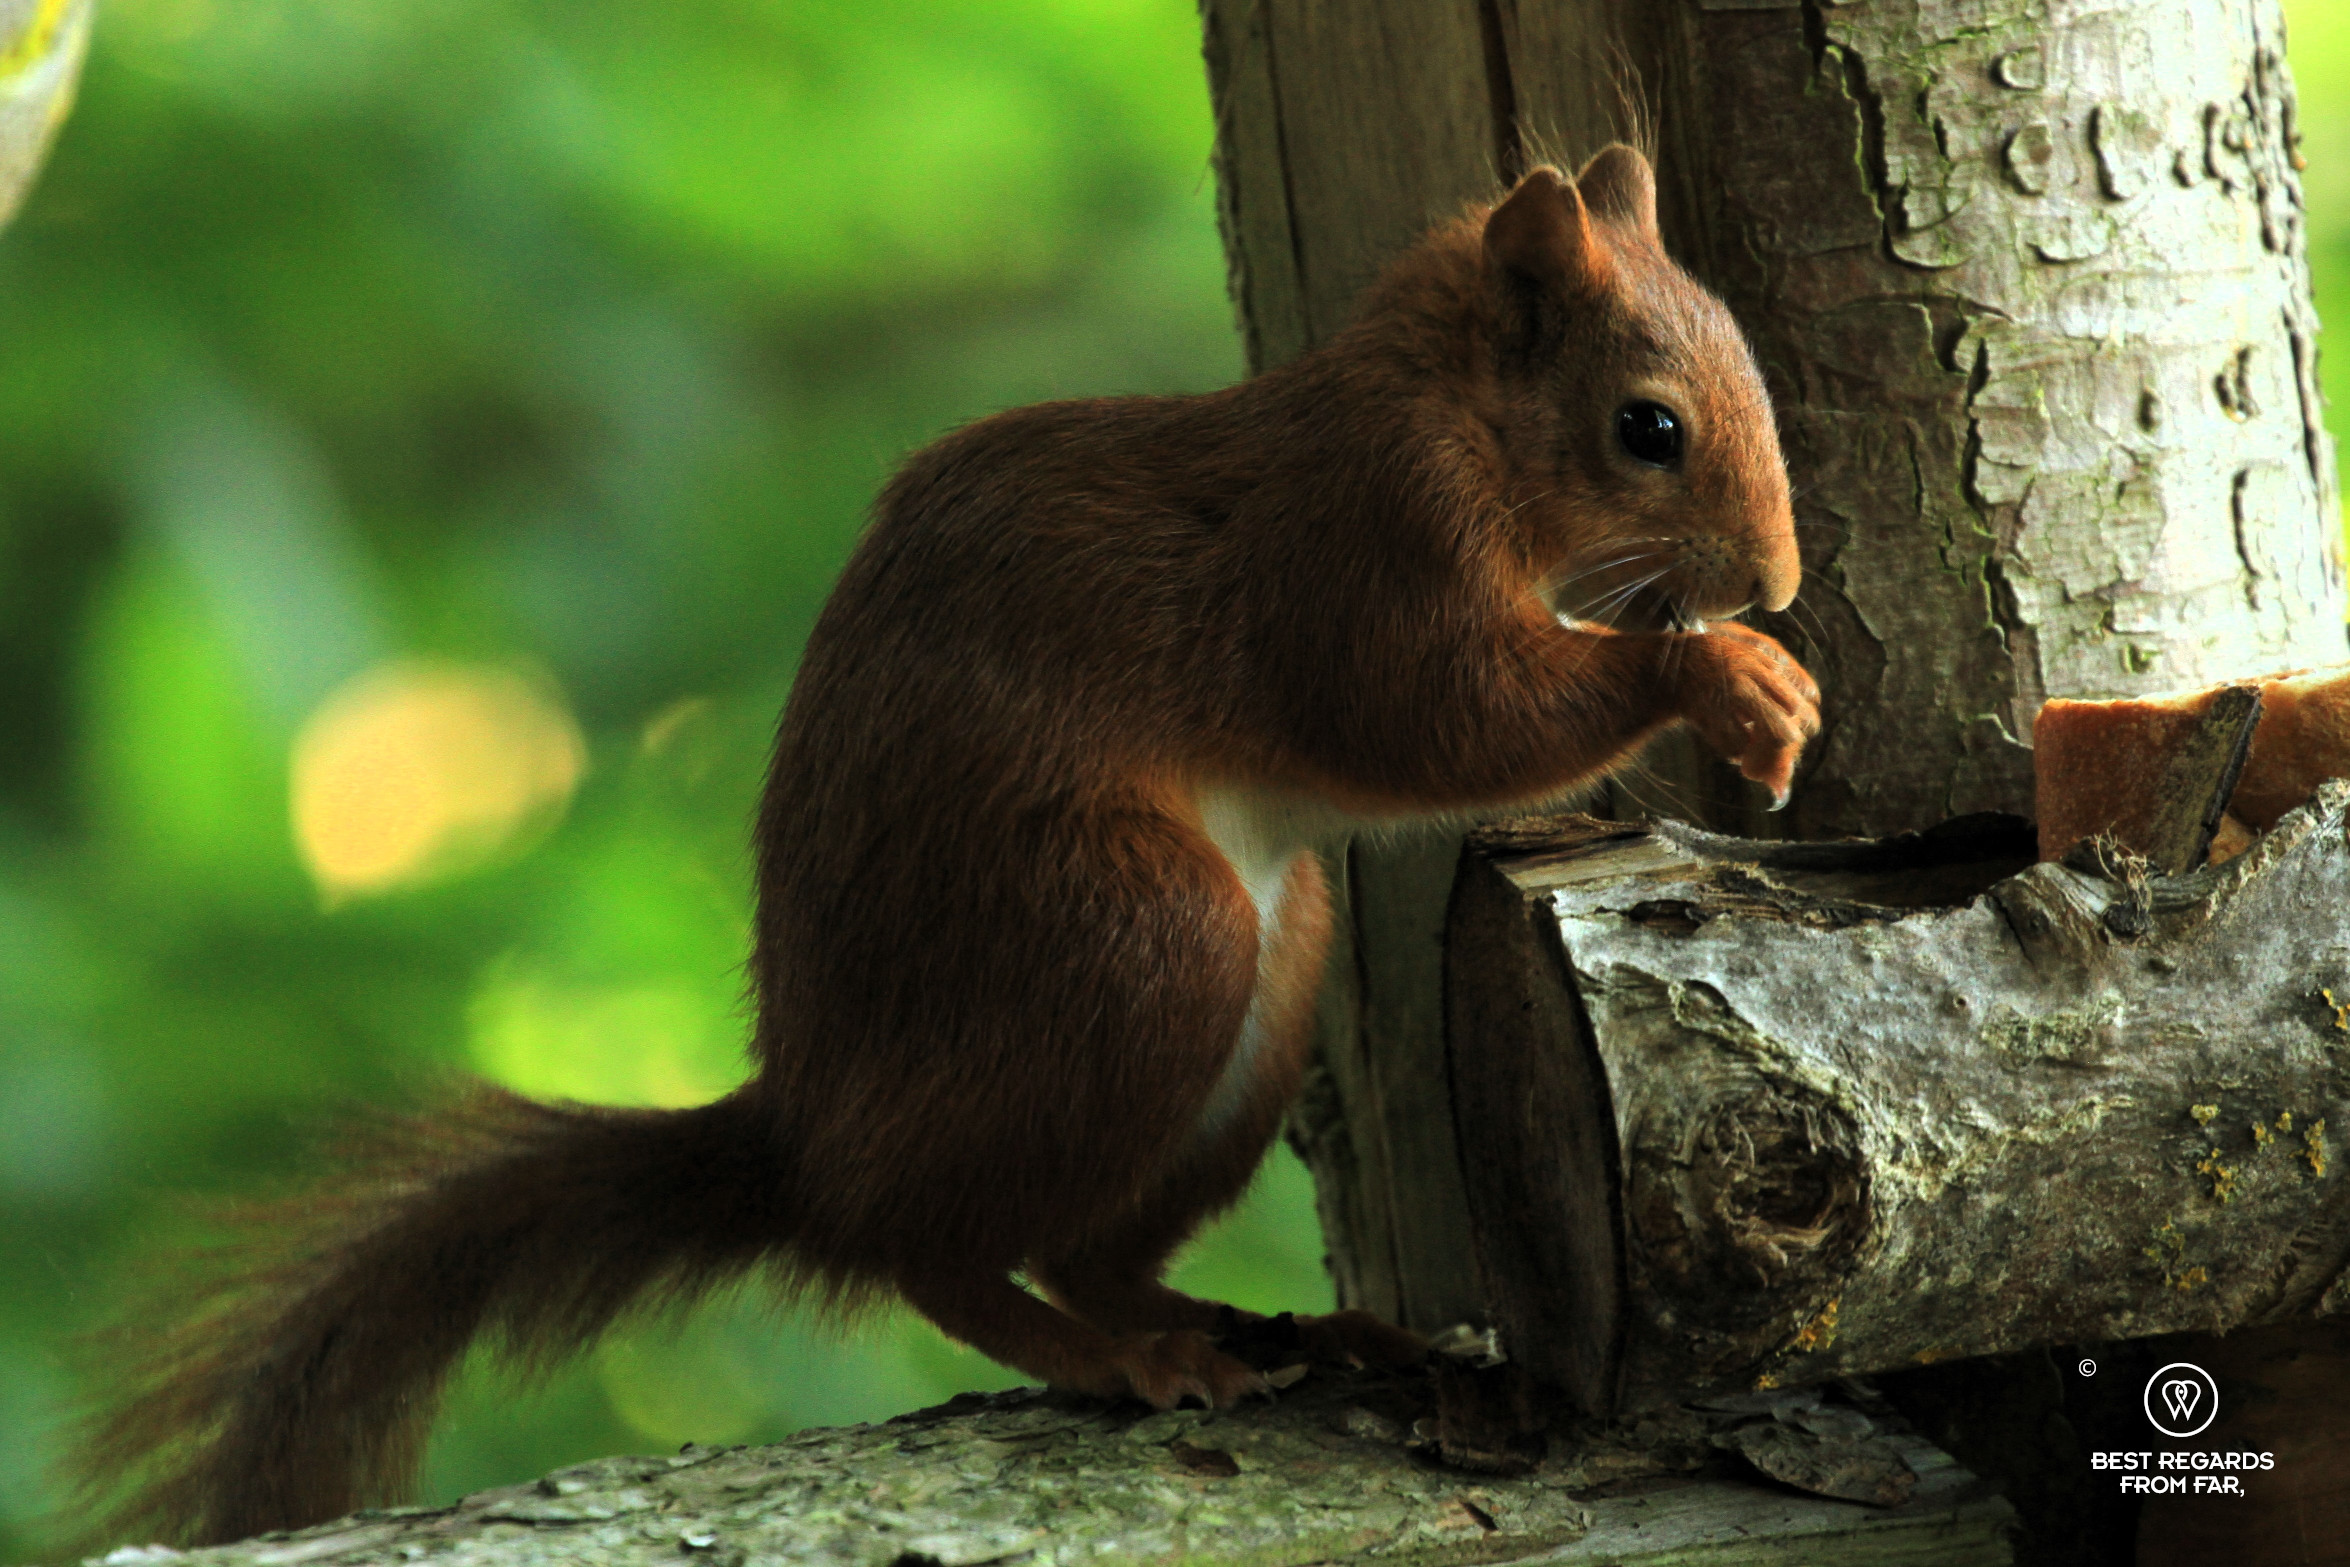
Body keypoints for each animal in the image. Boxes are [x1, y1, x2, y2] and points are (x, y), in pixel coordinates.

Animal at [77, 145, 1817, 1547]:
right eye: (1645, 428)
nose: (1780, 578)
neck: (1446, 407)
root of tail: (812, 1137)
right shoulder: (1359, 544)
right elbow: (1440, 715)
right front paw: (1720, 677)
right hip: (1135, 937)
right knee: (932, 1252)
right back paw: (1118, 1357)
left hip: (1264, 977)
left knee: (1078, 1242)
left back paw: (1261, 1327)